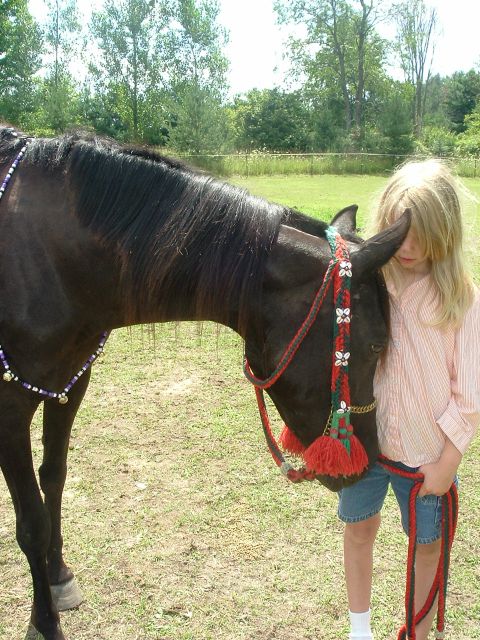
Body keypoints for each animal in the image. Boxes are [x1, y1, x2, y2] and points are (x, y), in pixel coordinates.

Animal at [0, 127, 409, 640]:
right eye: (376, 345)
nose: (368, 464)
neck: (51, 253)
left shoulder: (69, 382)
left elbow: (53, 478)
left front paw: (58, 577)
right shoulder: (9, 407)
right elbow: (31, 520)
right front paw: (45, 620)